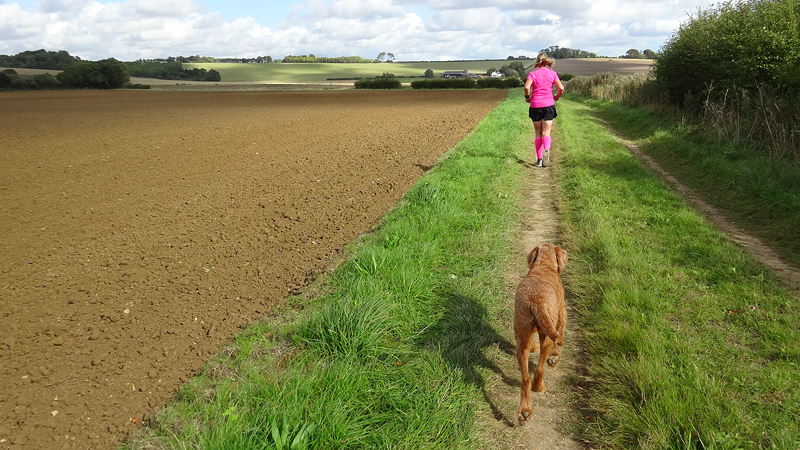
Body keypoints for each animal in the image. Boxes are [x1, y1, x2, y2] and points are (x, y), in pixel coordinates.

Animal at [514, 243, 567, 422]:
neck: (544, 265)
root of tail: (536, 301)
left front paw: (533, 347)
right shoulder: (562, 312)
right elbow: (561, 332)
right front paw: (555, 356)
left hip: (521, 333)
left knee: (525, 379)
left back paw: (525, 410)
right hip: (547, 334)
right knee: (539, 368)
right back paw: (539, 387)